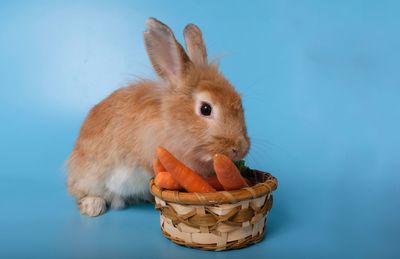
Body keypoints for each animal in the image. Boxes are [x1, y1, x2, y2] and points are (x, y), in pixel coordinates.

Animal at [68, 17, 250, 217]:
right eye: (205, 109)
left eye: (239, 101)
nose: (241, 148)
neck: (170, 123)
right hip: (90, 177)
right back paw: (93, 206)